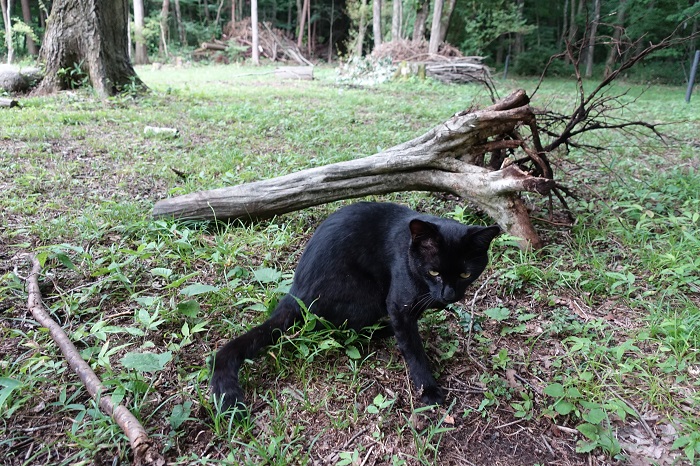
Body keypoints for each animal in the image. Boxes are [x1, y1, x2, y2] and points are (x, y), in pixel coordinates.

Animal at [211, 202, 500, 414]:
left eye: (465, 274)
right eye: (434, 272)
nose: (449, 295)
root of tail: (295, 293)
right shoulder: (398, 304)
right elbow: (412, 348)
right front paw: (427, 389)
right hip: (369, 295)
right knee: (346, 330)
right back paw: (383, 330)